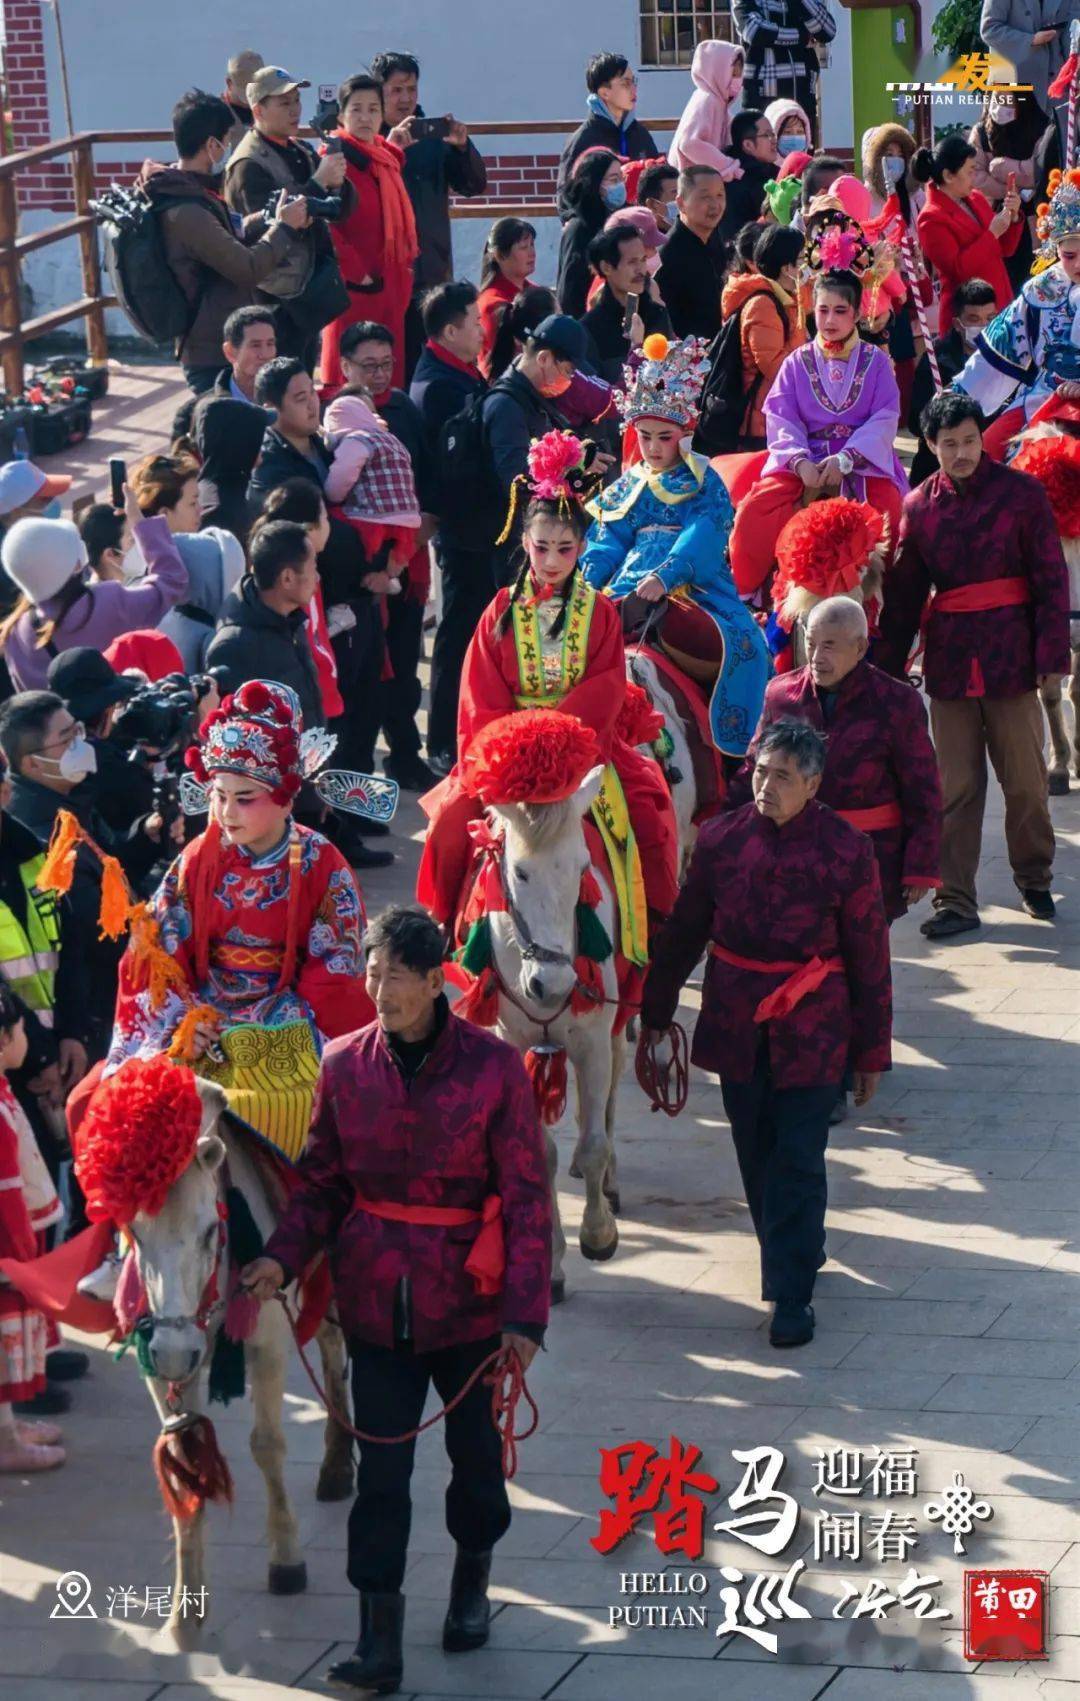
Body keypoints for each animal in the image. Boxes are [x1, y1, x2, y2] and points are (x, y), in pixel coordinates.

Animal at [129, 1075, 352, 1646]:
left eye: (211, 1229)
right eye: (135, 1234)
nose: (174, 1351)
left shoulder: (267, 1336)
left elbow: (268, 1445)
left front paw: (287, 1561)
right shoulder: (160, 1360)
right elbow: (184, 1461)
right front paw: (185, 1613)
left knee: (335, 1347)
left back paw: (339, 1466)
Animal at [483, 765, 625, 1292]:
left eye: (583, 867)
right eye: (520, 872)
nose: (555, 983)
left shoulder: (593, 1040)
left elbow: (595, 1143)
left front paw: (598, 1233)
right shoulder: (516, 1042)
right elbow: (539, 1154)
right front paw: (551, 1263)